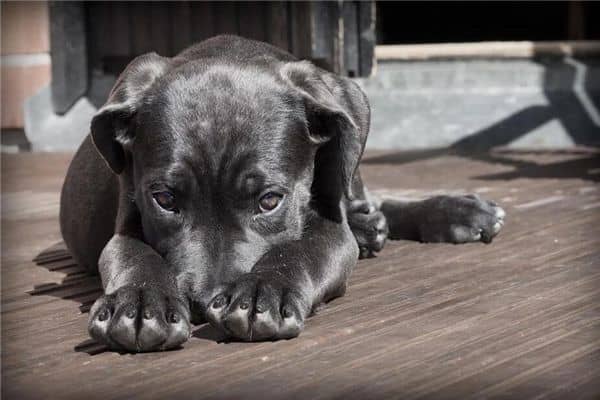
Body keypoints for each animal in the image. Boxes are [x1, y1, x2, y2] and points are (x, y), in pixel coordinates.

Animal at [59, 35, 502, 354]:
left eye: (269, 200)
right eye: (164, 200)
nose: (203, 303)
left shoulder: (330, 227)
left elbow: (301, 250)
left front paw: (262, 291)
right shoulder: (126, 221)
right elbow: (133, 255)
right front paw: (138, 303)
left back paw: (455, 212)